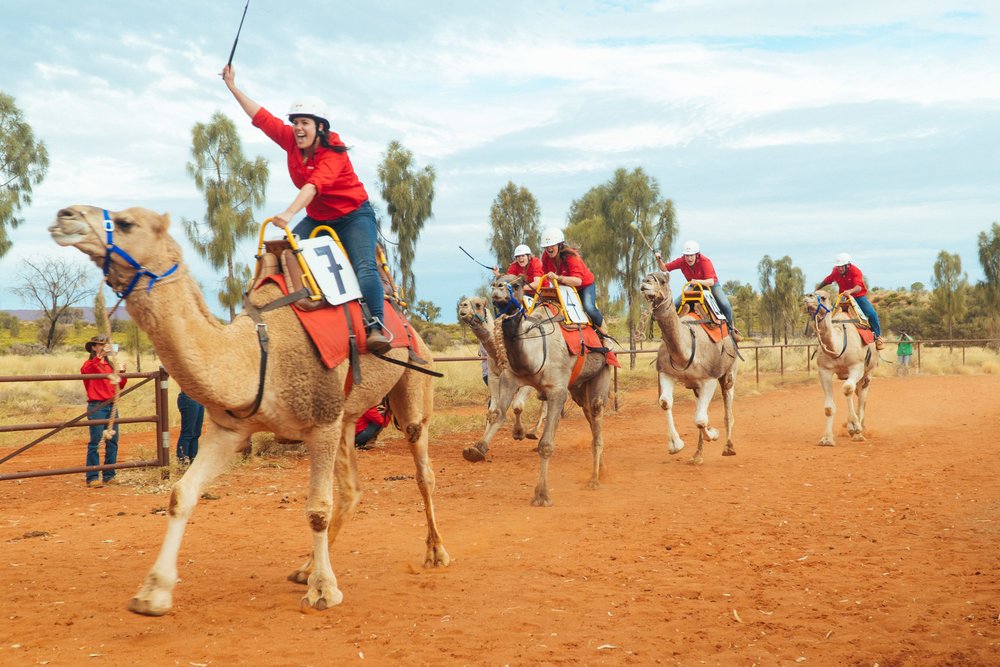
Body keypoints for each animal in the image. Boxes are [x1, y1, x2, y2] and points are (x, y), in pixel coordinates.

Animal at [49, 205, 449, 616]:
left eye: (127, 223)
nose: (66, 215)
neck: (259, 353)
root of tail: (406, 320)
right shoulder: (231, 429)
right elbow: (181, 495)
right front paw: (153, 592)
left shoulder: (321, 422)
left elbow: (317, 509)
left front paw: (323, 591)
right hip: (348, 417)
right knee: (352, 489)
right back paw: (305, 567)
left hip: (410, 388)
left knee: (423, 471)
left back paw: (434, 552)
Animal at [456, 296, 545, 449]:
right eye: (464, 302)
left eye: (478, 304)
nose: (462, 306)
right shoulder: (493, 376)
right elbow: (492, 411)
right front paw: (480, 444)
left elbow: (517, 406)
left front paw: (519, 432)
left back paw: (533, 432)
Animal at [470, 275, 611, 506]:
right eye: (495, 282)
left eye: (515, 285)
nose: (497, 291)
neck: (535, 348)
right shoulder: (510, 378)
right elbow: (497, 415)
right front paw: (476, 449)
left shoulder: (557, 391)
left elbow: (546, 445)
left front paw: (542, 495)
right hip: (578, 388)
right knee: (590, 417)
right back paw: (600, 470)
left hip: (602, 373)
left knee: (597, 414)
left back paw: (594, 480)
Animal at [639, 272, 738, 465]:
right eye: (647, 276)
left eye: (663, 281)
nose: (645, 284)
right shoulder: (666, 373)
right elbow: (665, 403)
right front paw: (675, 446)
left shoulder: (709, 379)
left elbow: (700, 419)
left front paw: (714, 434)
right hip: (696, 386)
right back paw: (697, 455)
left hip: (729, 372)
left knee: (728, 404)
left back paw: (729, 447)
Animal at [803, 290, 878, 446]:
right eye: (810, 293)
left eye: (823, 297)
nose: (807, 297)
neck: (838, 348)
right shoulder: (824, 371)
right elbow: (828, 408)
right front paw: (827, 439)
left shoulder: (856, 367)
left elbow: (847, 389)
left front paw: (856, 428)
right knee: (857, 392)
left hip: (868, 372)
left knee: (862, 396)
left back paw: (859, 428)